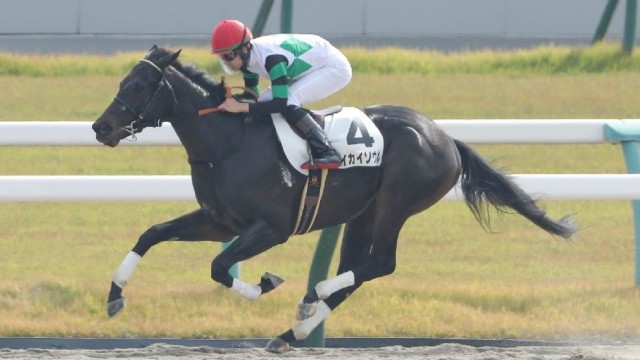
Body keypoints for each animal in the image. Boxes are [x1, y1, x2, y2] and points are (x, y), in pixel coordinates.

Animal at [92, 45, 576, 352]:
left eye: (140, 86)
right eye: (124, 79)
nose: (101, 127)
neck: (228, 142)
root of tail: (445, 138)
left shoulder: (272, 227)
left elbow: (218, 266)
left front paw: (268, 282)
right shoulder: (220, 221)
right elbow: (152, 234)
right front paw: (114, 296)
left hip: (396, 203)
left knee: (380, 264)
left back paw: (313, 298)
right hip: (363, 212)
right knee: (357, 270)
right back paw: (294, 329)